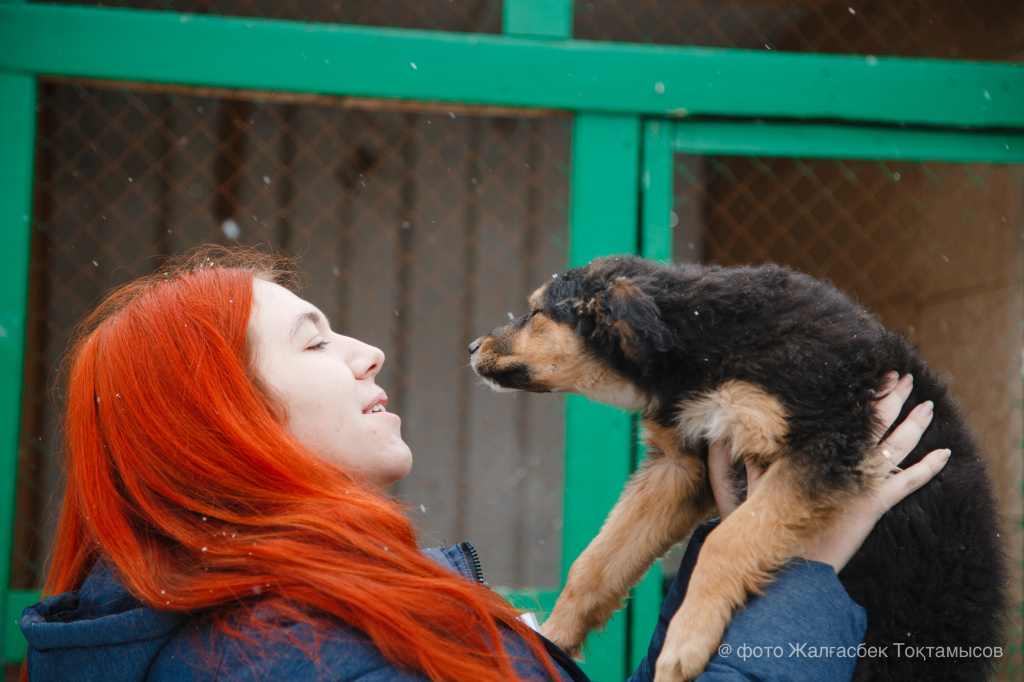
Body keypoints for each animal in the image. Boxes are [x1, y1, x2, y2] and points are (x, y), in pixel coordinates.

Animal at [471, 254, 1007, 679]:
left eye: (536, 313)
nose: (472, 348)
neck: (705, 341)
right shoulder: (681, 464)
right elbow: (596, 563)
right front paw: (552, 640)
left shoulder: (822, 444)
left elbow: (727, 542)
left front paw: (685, 642)